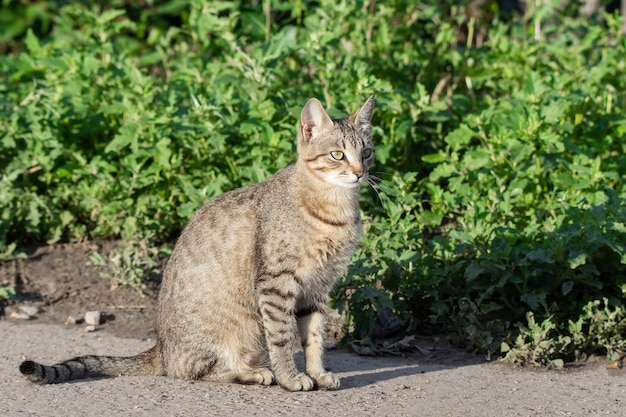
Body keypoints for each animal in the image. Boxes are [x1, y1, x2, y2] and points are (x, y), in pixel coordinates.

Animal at [18, 94, 376, 390]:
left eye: (366, 152)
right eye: (337, 154)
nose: (360, 172)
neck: (335, 209)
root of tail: (161, 348)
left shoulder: (317, 288)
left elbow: (314, 338)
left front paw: (318, 374)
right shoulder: (277, 284)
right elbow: (282, 338)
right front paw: (291, 378)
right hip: (220, 337)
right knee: (192, 371)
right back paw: (257, 374)